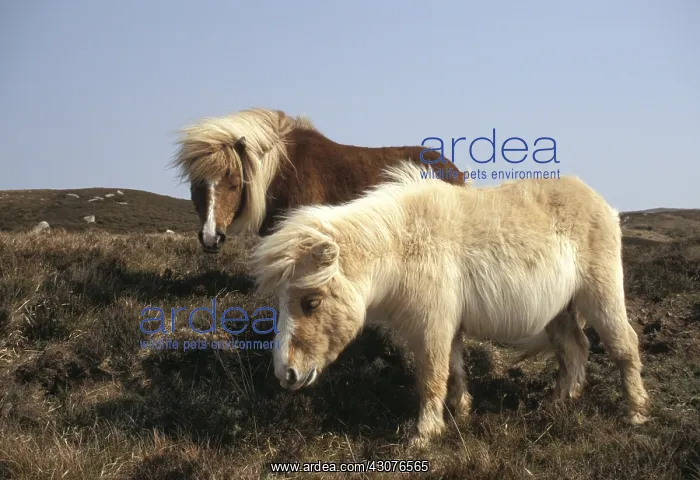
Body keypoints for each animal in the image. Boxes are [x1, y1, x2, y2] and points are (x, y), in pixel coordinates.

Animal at [249, 161, 651, 448]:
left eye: (311, 302)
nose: (286, 374)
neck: (402, 245)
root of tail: (602, 204)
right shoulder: (449, 326)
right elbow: (454, 371)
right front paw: (460, 415)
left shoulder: (432, 327)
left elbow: (431, 377)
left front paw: (424, 435)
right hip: (560, 311)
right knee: (575, 349)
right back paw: (558, 405)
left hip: (600, 295)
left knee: (623, 346)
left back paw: (636, 413)